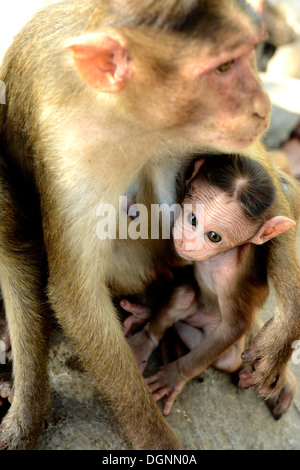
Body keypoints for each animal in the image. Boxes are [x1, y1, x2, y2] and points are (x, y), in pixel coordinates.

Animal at [0, 0, 296, 450]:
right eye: (223, 67)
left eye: (249, 54)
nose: (263, 106)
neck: (131, 119)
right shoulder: (67, 149)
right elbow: (76, 294)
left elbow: (259, 172)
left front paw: (283, 333)